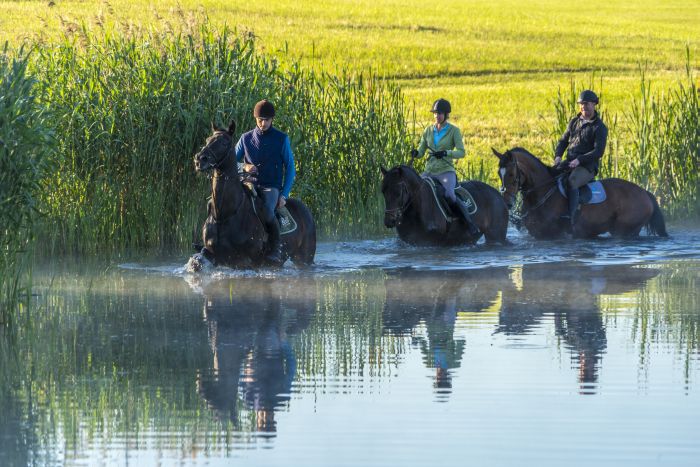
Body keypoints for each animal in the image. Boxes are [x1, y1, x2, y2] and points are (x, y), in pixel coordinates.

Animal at [187, 122, 316, 272]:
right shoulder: (214, 254)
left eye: (224, 142)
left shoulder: (246, 261)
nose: (199, 159)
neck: (225, 214)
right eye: (207, 140)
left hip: (304, 258)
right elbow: (200, 258)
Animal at [492, 147, 668, 241]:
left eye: (511, 174)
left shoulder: (555, 235)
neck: (542, 194)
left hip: (625, 230)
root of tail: (645, 193)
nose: (507, 203)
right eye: (499, 173)